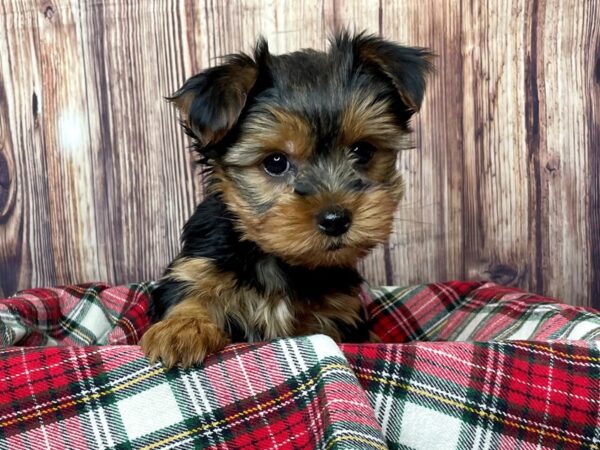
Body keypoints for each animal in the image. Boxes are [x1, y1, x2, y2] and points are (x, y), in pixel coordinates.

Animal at [141, 32, 432, 370]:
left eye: (363, 151)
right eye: (276, 162)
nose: (336, 219)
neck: (280, 261)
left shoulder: (339, 311)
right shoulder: (199, 265)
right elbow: (188, 293)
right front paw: (182, 330)